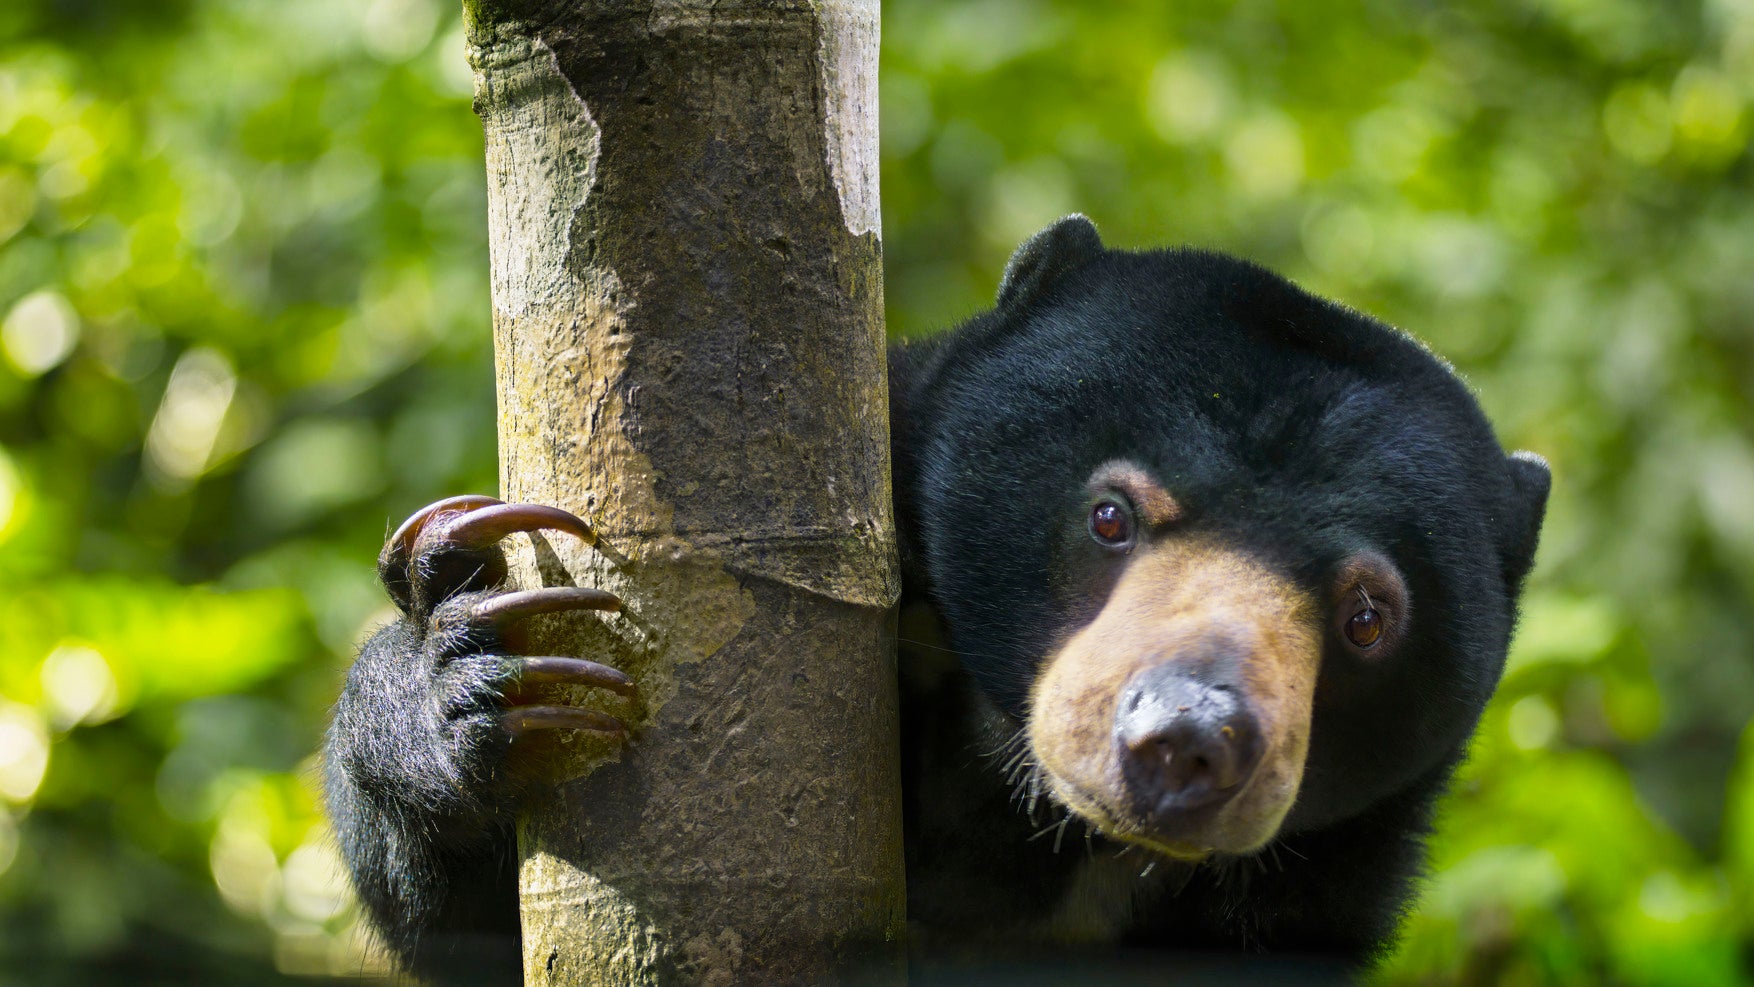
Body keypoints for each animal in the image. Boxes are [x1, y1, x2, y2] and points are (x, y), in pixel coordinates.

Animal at [322, 216, 1543, 981]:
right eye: (1111, 514)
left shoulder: (1322, 880)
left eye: (1367, 615)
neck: (1024, 811)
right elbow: (470, 927)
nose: (1188, 742)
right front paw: (473, 668)